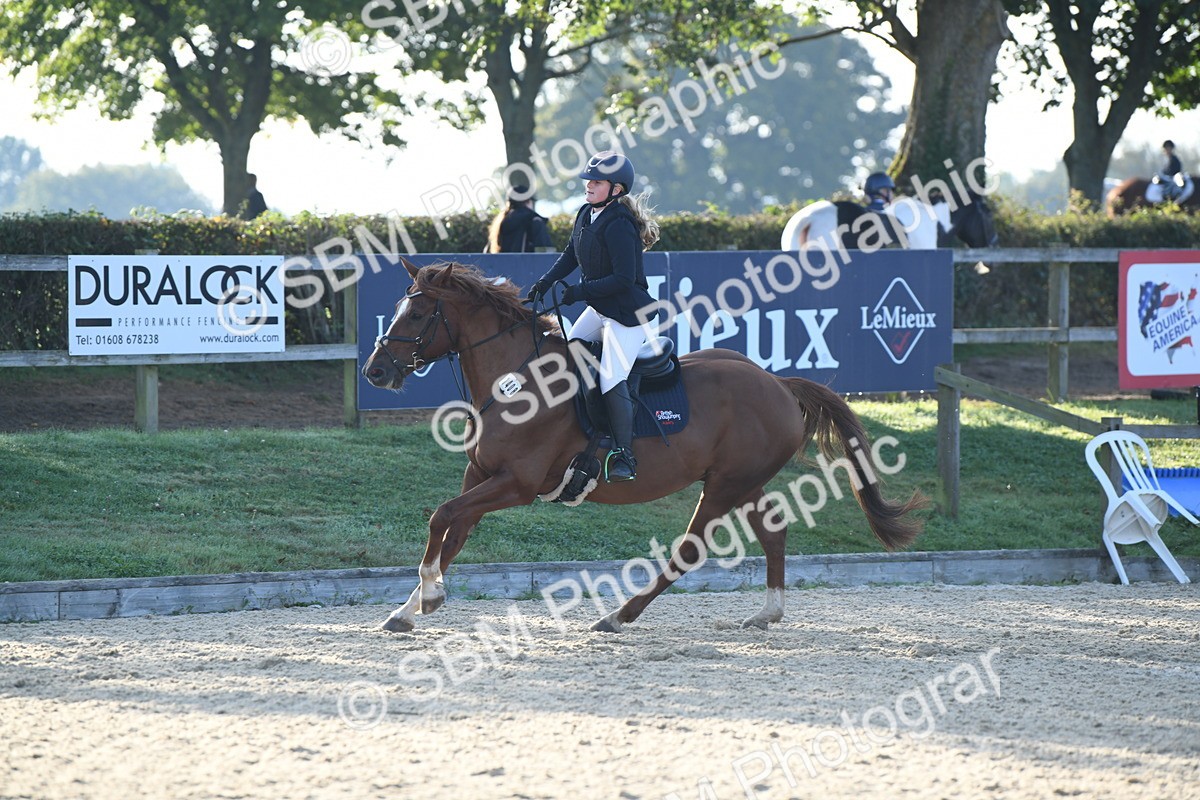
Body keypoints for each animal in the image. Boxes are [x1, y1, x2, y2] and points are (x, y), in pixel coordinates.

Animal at [362, 258, 926, 634]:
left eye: (417, 315)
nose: (375, 371)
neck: (516, 382)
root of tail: (778, 383)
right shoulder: (479, 477)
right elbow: (452, 533)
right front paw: (411, 608)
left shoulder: (515, 485)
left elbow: (441, 516)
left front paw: (429, 595)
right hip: (743, 481)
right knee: (773, 531)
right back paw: (767, 612)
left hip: (725, 486)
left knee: (689, 550)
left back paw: (619, 615)